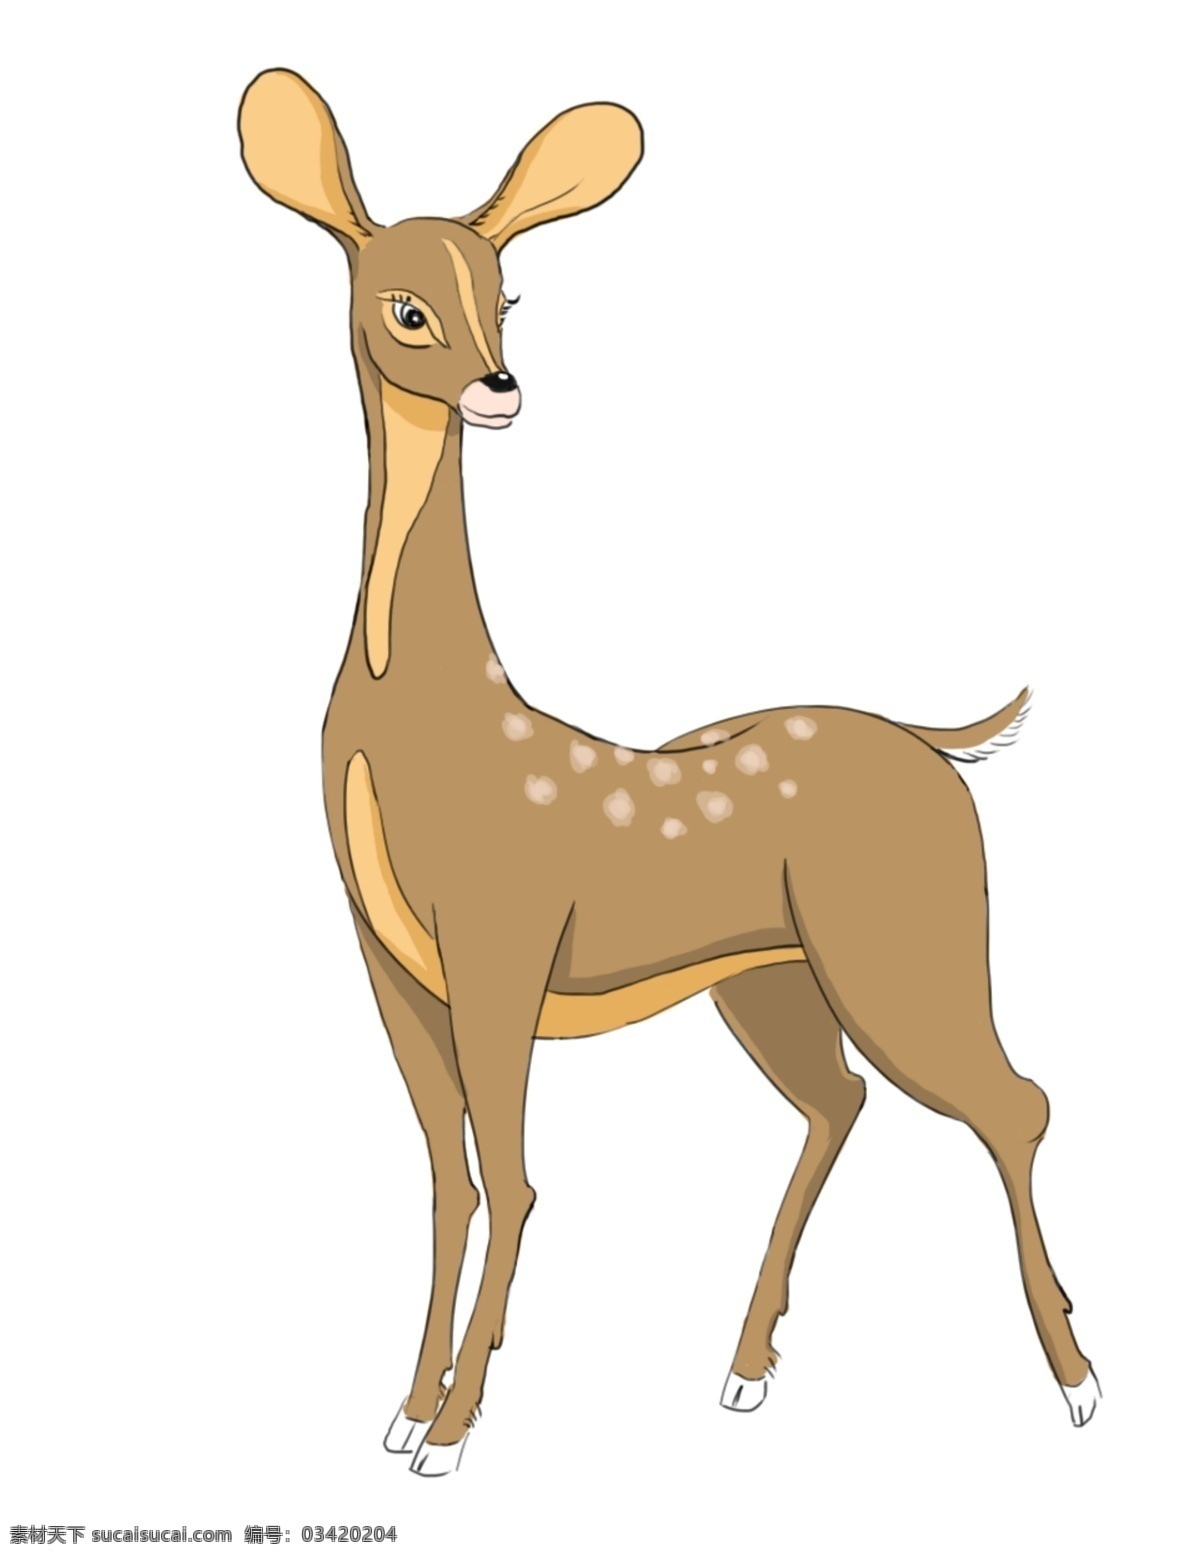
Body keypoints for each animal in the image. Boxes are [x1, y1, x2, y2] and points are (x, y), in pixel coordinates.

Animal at [237, 68, 1099, 1477]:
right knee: (839, 1102)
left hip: (905, 945)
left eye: (508, 295)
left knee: (1011, 1099)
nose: (500, 388)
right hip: (768, 978)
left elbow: (517, 1175)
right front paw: (405, 1408)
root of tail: (940, 746)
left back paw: (1080, 1382)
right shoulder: (390, 960)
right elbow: (450, 1176)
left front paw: (455, 1432)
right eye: (406, 304)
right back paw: (745, 1369)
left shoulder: (503, 934)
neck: (423, 731)